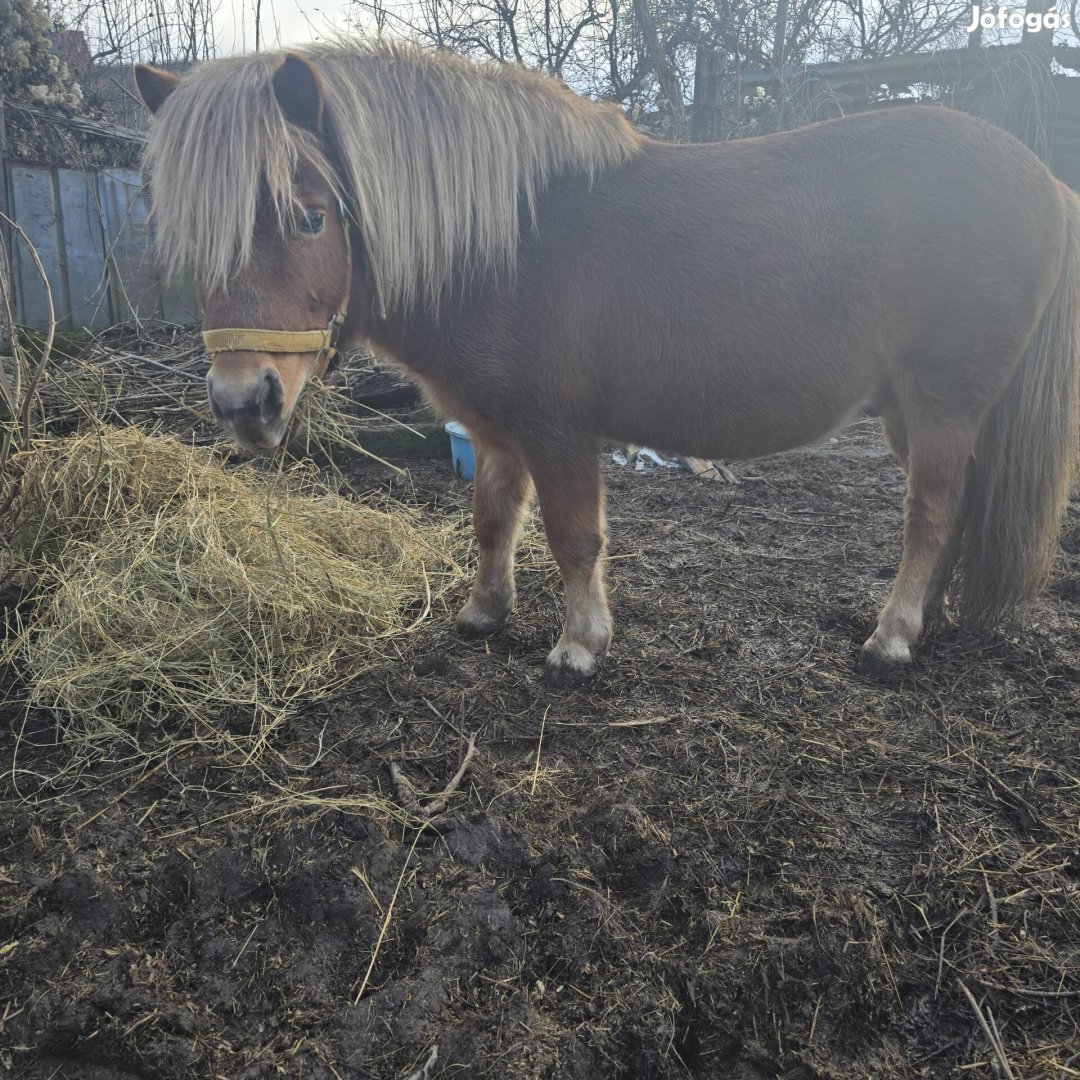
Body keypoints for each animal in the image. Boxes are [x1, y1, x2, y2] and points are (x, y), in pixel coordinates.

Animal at [135, 44, 1080, 682]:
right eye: (190, 233)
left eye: (309, 216)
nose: (243, 401)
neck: (506, 243)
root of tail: (1044, 181)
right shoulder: (495, 427)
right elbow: (494, 521)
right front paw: (484, 613)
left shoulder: (560, 430)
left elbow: (574, 536)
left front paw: (579, 646)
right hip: (913, 412)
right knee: (959, 509)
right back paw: (935, 619)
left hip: (944, 401)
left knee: (931, 512)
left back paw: (893, 635)